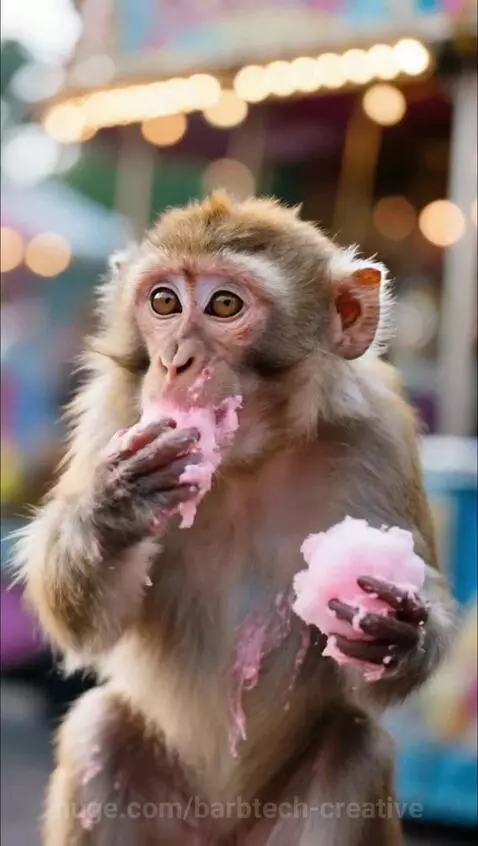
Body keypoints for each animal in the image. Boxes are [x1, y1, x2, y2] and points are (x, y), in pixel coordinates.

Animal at [15, 192, 456, 845]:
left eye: (225, 304)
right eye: (164, 301)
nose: (175, 360)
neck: (248, 458)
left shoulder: (381, 433)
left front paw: (400, 634)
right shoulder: (112, 415)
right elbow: (86, 627)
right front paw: (114, 505)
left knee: (355, 745)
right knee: (99, 728)